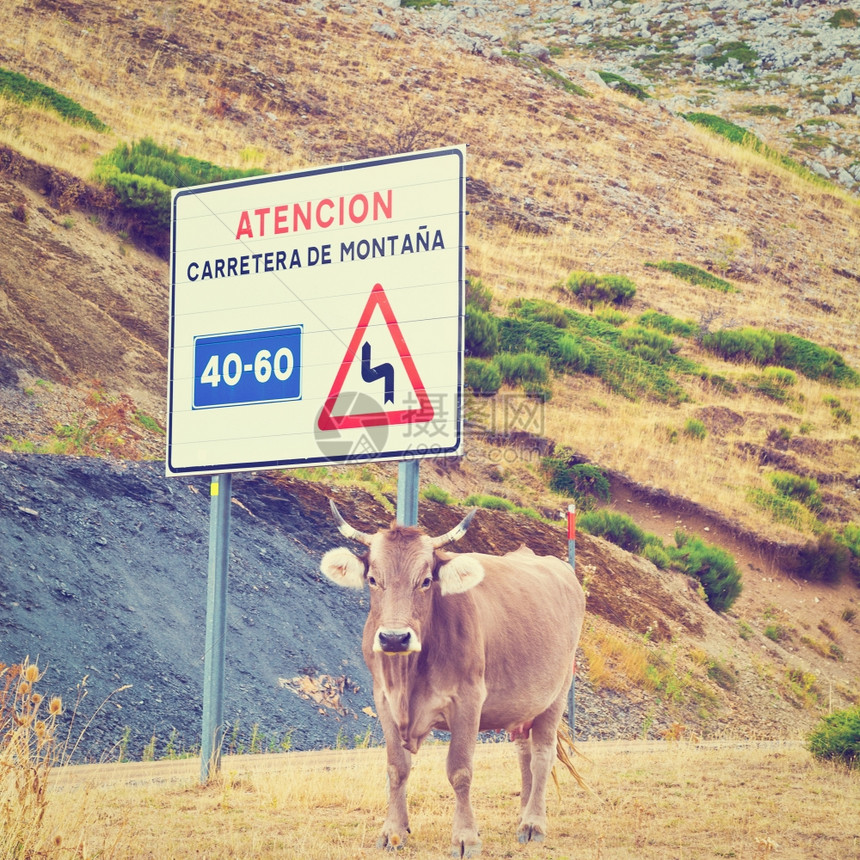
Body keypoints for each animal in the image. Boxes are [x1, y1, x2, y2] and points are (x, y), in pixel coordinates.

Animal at [320, 500, 588, 856]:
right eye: (374, 579)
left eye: (425, 581)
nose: (394, 638)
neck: (409, 677)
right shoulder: (383, 699)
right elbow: (397, 768)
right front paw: (393, 831)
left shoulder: (468, 700)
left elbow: (460, 771)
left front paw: (465, 838)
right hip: (523, 706)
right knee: (525, 753)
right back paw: (523, 814)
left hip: (556, 694)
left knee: (542, 755)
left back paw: (533, 823)